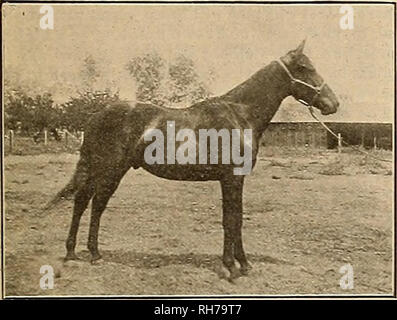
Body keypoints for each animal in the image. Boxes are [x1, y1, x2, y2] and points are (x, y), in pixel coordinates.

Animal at [46, 40, 338, 280]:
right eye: (304, 68)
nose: (333, 104)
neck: (240, 115)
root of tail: (96, 116)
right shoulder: (232, 178)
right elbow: (231, 220)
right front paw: (232, 267)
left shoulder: (234, 179)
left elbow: (235, 219)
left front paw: (241, 265)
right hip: (110, 170)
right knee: (93, 203)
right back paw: (89, 254)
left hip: (105, 170)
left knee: (85, 202)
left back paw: (79, 253)